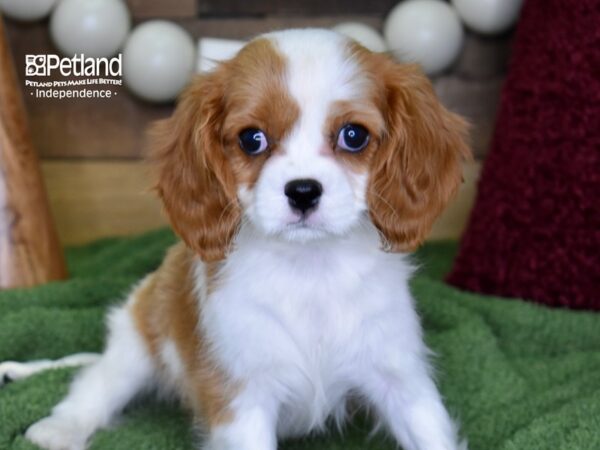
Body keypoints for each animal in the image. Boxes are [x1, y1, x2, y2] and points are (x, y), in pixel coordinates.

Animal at [0, 28, 468, 450]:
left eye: (353, 136)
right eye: (252, 139)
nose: (303, 191)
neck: (311, 268)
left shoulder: (401, 377)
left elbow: (429, 430)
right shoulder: (241, 398)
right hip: (139, 334)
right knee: (96, 383)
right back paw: (60, 429)